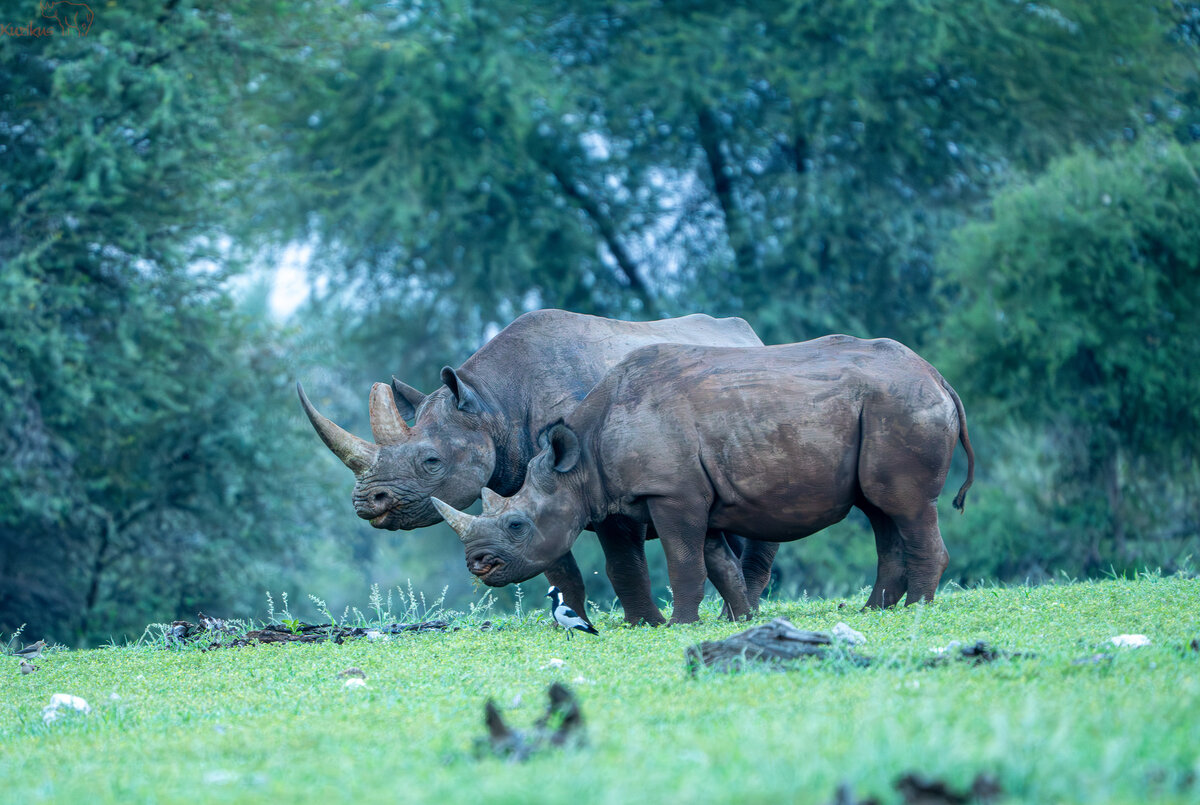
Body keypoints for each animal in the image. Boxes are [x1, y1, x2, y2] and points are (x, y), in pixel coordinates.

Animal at [297, 309, 773, 625]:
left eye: (431, 462)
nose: (366, 502)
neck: (491, 404)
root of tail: (754, 338)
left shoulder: (605, 481)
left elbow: (622, 562)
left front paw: (644, 625)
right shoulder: (523, 491)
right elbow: (556, 564)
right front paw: (572, 624)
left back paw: (740, 616)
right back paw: (737, 615)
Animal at [431, 335, 976, 624]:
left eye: (517, 524)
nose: (478, 565)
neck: (580, 459)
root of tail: (938, 377)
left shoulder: (673, 493)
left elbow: (685, 561)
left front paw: (681, 624)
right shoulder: (695, 494)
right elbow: (717, 563)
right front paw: (738, 620)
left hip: (902, 404)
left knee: (906, 507)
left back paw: (917, 609)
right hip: (891, 406)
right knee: (881, 511)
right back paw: (875, 612)